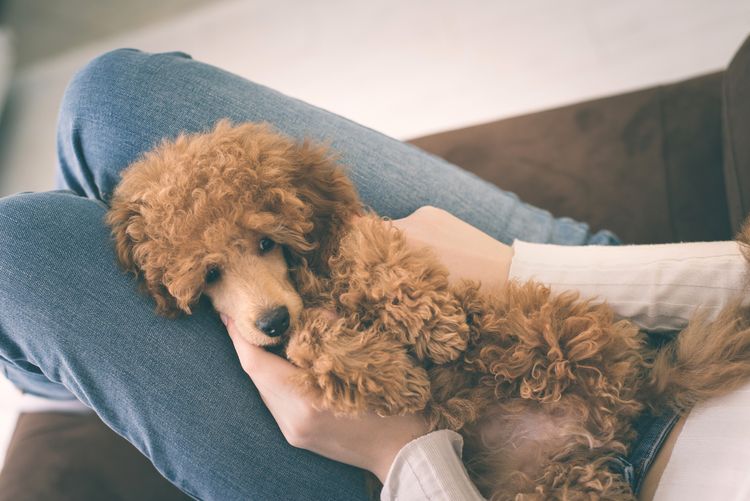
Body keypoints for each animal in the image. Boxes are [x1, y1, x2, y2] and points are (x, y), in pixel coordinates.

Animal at [104, 121, 750, 500]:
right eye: (209, 275)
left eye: (266, 241)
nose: (270, 322)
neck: (306, 285)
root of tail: (612, 417)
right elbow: (313, 341)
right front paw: (391, 374)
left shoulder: (349, 234)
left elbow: (368, 253)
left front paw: (431, 327)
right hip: (545, 483)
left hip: (547, 323)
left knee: (517, 339)